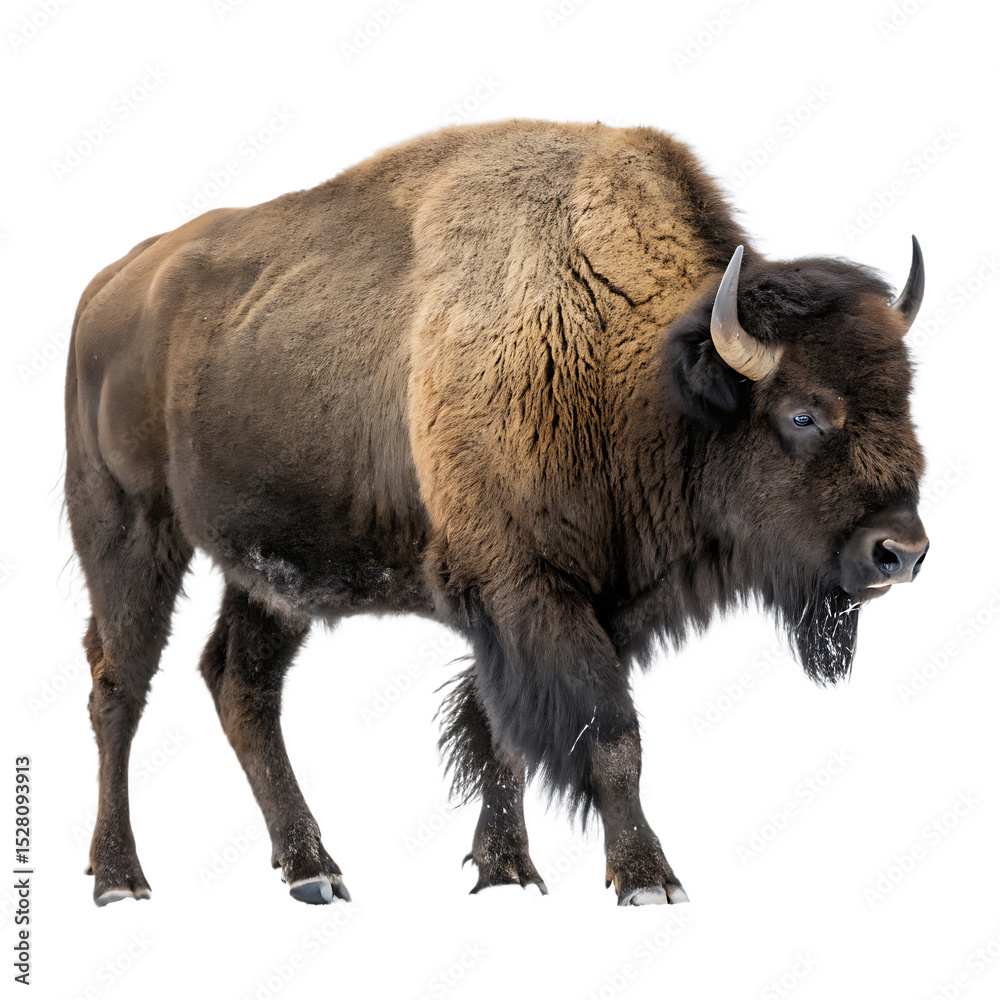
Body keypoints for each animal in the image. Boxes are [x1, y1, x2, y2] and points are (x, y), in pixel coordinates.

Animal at [64, 119, 928, 907]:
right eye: (803, 413)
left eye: (905, 397)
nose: (902, 551)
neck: (637, 369)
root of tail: (108, 285)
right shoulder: (528, 590)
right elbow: (610, 736)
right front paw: (647, 880)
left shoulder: (579, 607)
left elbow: (501, 737)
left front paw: (507, 871)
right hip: (128, 531)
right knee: (118, 687)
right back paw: (120, 879)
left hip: (273, 569)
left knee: (241, 684)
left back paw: (313, 870)